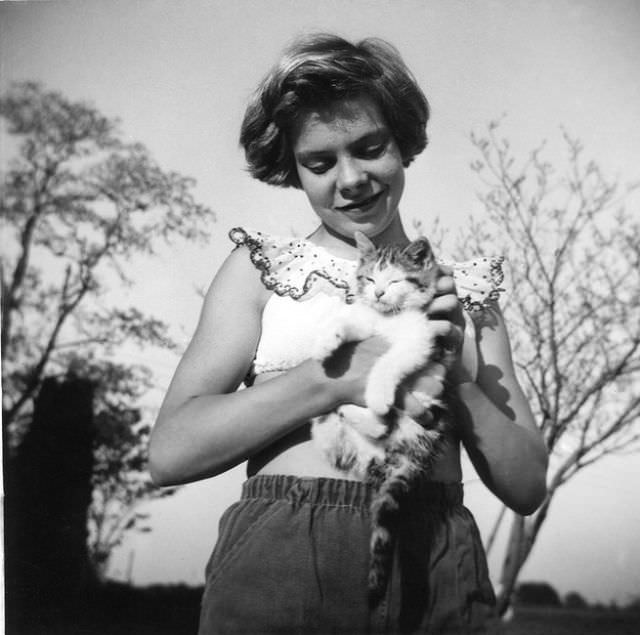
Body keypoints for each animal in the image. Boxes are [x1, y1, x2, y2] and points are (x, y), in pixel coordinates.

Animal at [312, 232, 456, 608]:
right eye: (369, 278)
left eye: (394, 281)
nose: (378, 293)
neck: (389, 318)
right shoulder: (368, 320)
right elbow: (350, 320)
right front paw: (326, 339)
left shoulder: (421, 339)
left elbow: (390, 361)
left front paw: (377, 392)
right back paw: (341, 413)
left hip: (426, 414)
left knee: (382, 423)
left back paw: (368, 411)